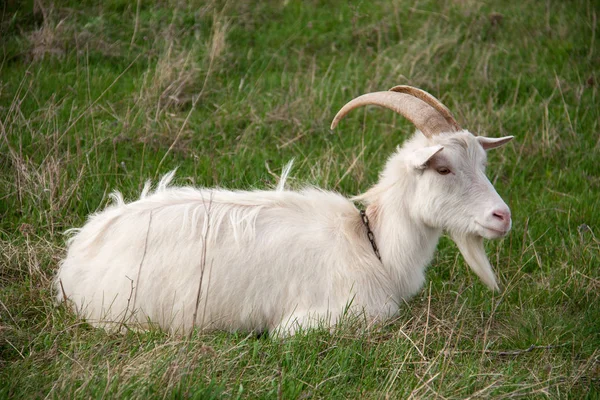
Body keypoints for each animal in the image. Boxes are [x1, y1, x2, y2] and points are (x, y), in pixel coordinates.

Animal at [56, 86, 512, 336]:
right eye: (442, 167)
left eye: (482, 165)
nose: (502, 217)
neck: (371, 244)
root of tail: (74, 258)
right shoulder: (335, 315)